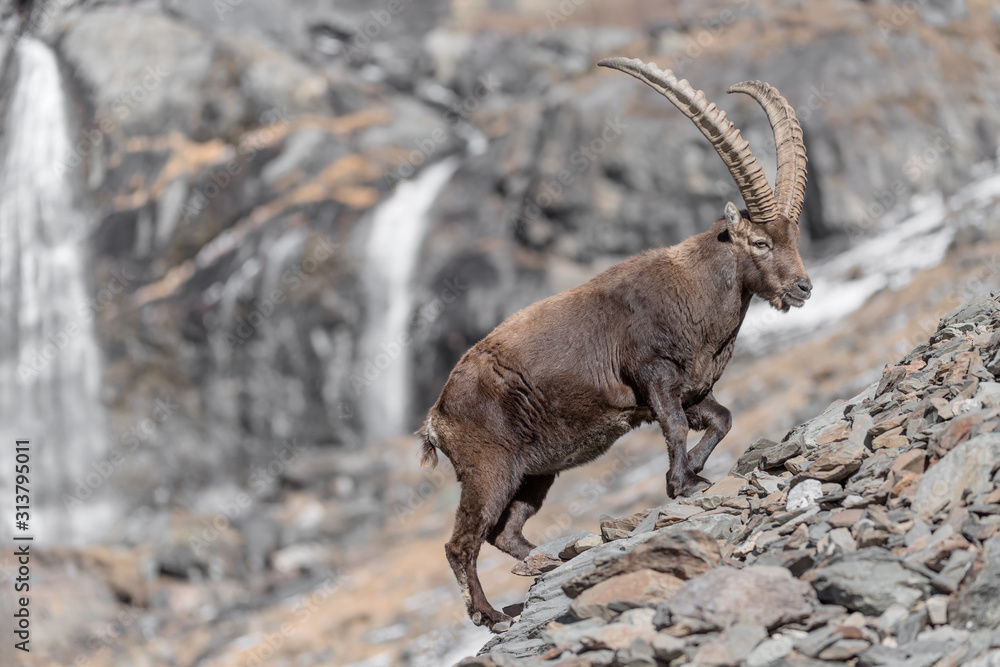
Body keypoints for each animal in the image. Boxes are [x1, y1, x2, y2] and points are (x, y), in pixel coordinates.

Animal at [418, 57, 812, 631]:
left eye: (793, 239)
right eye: (760, 242)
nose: (803, 288)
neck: (692, 292)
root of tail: (437, 416)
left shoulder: (692, 388)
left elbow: (721, 419)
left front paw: (691, 475)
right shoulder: (654, 377)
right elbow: (675, 426)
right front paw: (682, 483)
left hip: (534, 473)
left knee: (505, 532)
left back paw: (545, 562)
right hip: (488, 469)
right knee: (462, 542)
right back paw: (490, 613)